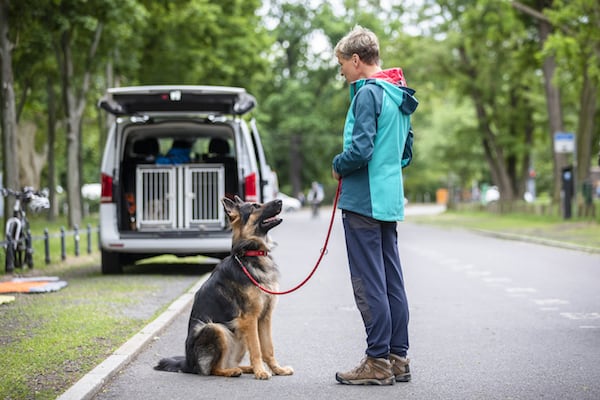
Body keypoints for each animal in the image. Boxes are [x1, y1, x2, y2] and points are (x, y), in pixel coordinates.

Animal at [156, 195, 294, 380]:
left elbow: (268, 348)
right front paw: (261, 372)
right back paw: (233, 371)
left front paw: (277, 369)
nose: (280, 201)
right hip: (216, 328)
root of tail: (188, 364)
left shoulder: (265, 318)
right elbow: (257, 348)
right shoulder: (250, 319)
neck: (250, 254)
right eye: (255, 206)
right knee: (213, 369)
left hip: (239, 334)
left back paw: (246, 368)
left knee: (230, 362)